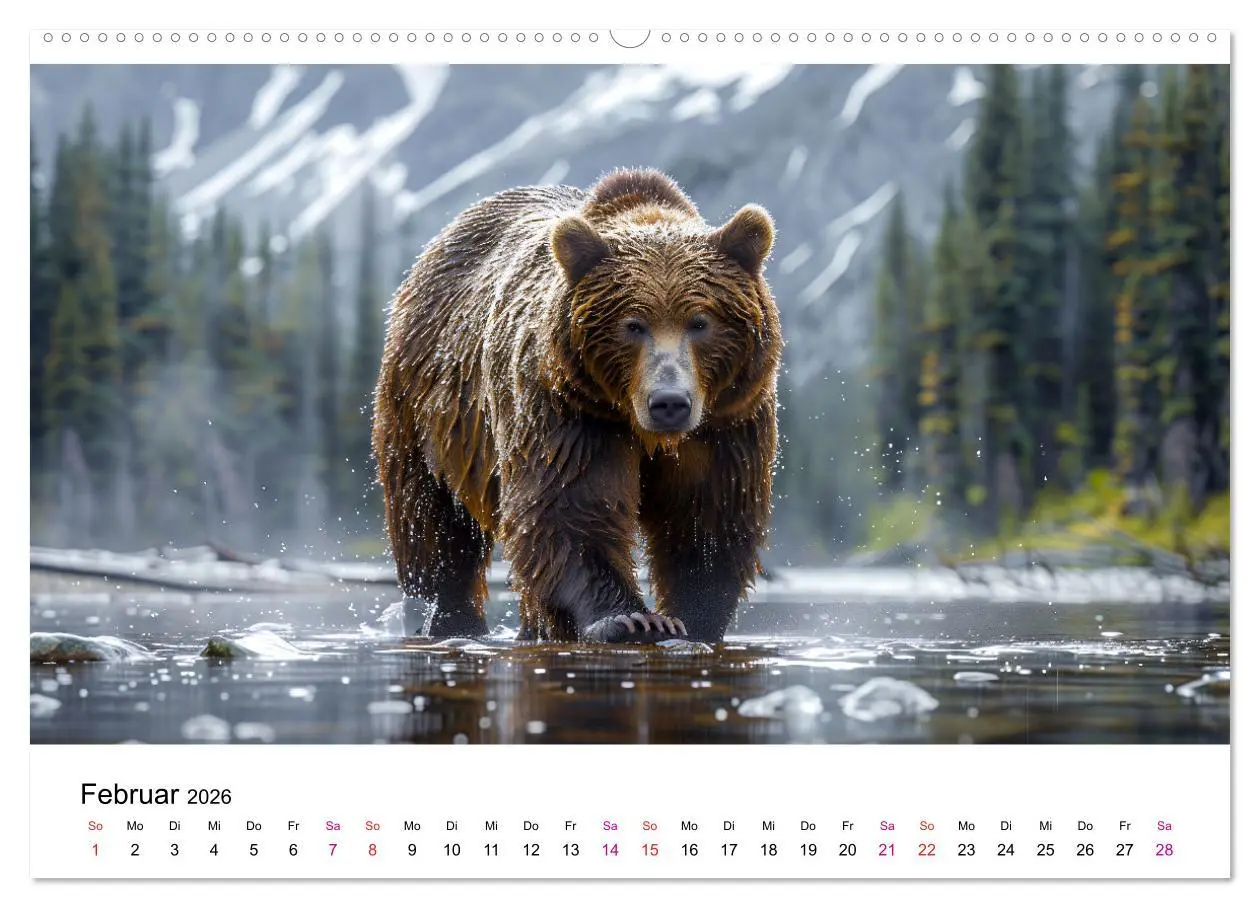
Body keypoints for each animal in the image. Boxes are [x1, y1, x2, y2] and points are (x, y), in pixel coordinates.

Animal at [372, 168, 782, 644]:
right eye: (633, 325)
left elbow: (707, 516)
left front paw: (691, 619)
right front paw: (631, 619)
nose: (669, 403)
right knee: (434, 526)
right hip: (428, 410)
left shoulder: (726, 422)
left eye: (700, 322)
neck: (635, 422)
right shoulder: (567, 409)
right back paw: (451, 620)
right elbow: (568, 506)